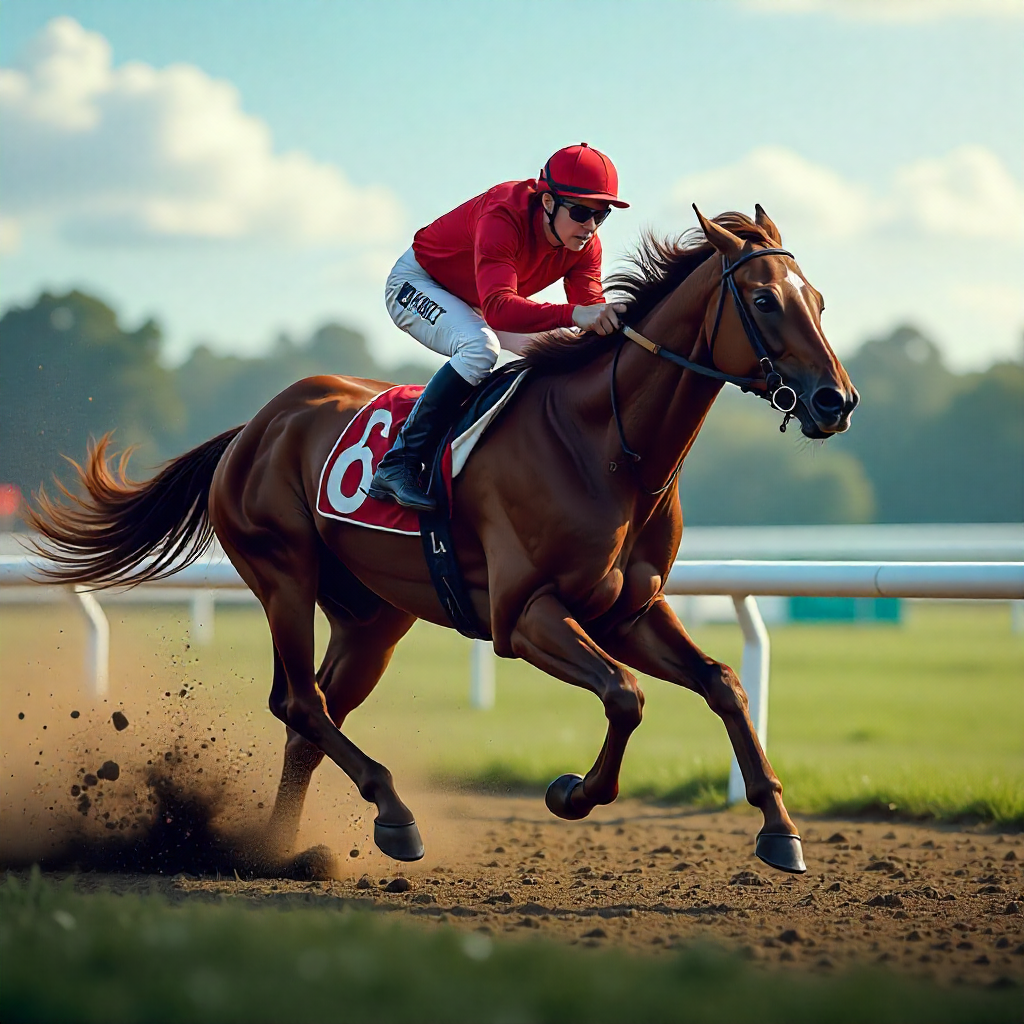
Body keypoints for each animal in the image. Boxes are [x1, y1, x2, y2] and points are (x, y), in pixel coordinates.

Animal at [29, 206, 857, 876]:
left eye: (818, 300)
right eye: (763, 299)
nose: (835, 401)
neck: (607, 447)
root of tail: (257, 425)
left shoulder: (630, 611)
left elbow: (724, 683)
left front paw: (781, 831)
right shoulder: (524, 616)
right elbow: (625, 696)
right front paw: (571, 793)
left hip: (372, 618)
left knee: (311, 717)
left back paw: (280, 852)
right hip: (284, 572)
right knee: (299, 702)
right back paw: (392, 815)